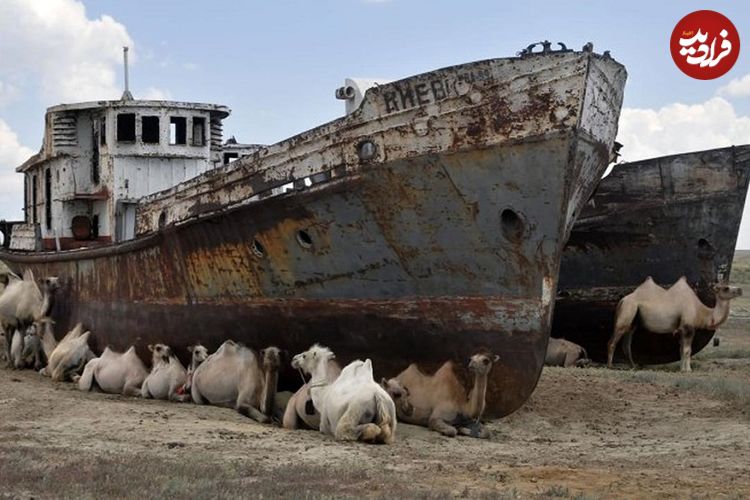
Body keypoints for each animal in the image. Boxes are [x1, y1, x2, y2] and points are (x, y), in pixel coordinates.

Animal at [612, 278, 748, 372]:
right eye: (726, 288)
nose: (740, 290)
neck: (700, 311)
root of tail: (622, 300)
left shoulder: (682, 329)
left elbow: (682, 350)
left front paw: (682, 368)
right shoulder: (688, 327)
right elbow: (688, 350)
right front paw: (687, 370)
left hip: (633, 321)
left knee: (626, 343)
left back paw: (632, 366)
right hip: (628, 310)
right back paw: (611, 365)